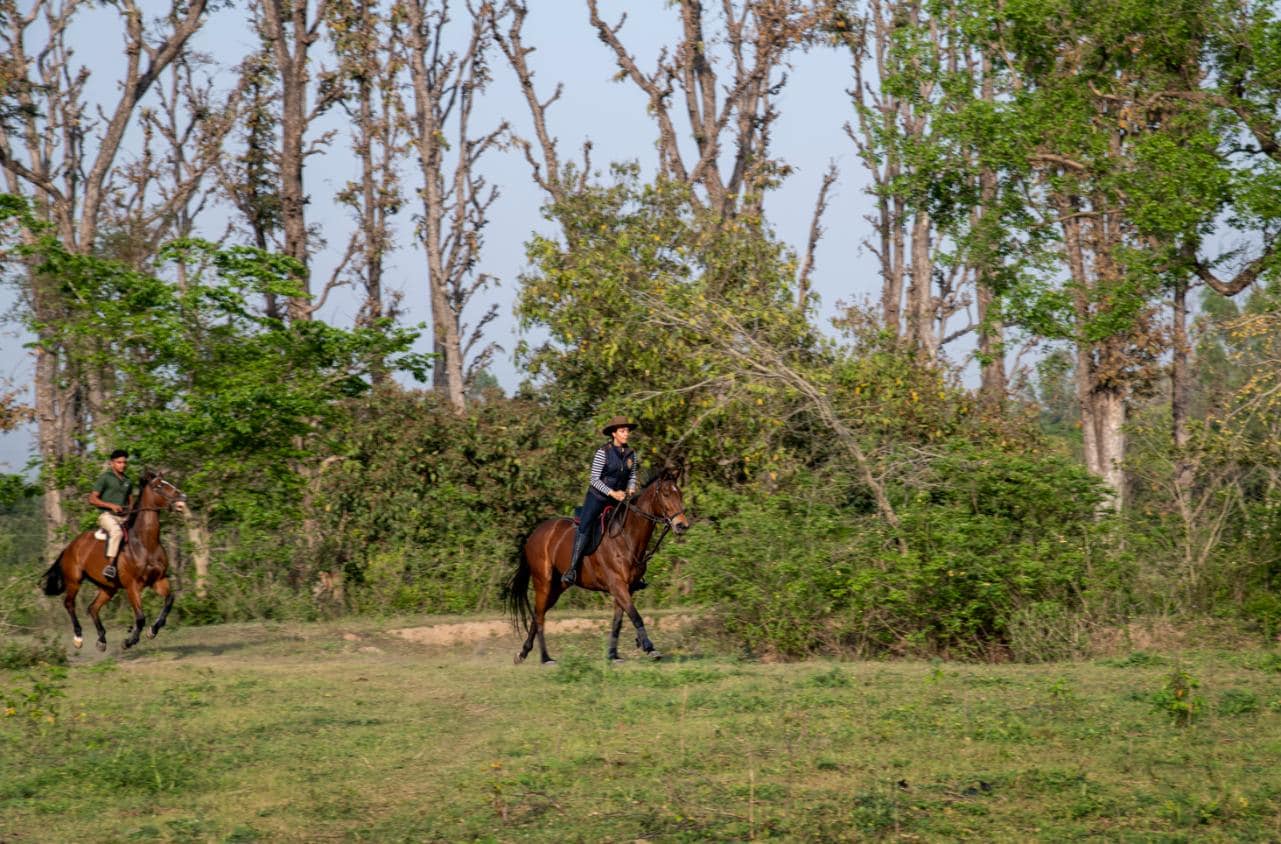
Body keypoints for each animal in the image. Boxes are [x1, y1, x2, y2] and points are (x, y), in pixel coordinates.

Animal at [40, 470, 188, 651]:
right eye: (159, 485)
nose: (182, 499)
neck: (145, 543)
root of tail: (69, 547)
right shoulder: (132, 585)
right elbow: (140, 617)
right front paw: (129, 641)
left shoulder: (158, 580)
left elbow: (169, 600)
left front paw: (152, 631)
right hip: (74, 581)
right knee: (69, 604)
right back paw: (78, 638)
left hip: (108, 587)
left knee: (93, 608)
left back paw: (102, 640)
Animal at [504, 467, 690, 664]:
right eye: (666, 494)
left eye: (680, 494)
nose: (682, 525)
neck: (626, 537)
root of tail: (533, 535)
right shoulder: (617, 585)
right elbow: (636, 616)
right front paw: (650, 648)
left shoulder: (627, 588)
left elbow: (618, 621)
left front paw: (613, 655)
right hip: (543, 582)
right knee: (539, 617)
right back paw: (546, 658)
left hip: (557, 587)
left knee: (538, 614)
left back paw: (523, 653)